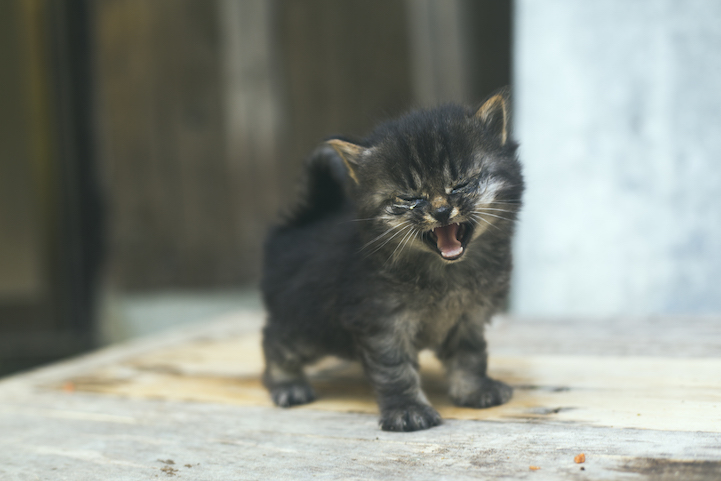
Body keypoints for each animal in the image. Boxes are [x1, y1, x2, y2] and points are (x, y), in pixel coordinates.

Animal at [262, 90, 520, 432]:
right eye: (411, 198)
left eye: (461, 184)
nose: (441, 211)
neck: (445, 273)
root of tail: (301, 223)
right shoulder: (381, 321)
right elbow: (395, 369)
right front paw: (407, 409)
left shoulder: (468, 318)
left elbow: (470, 356)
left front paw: (474, 389)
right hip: (307, 323)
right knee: (274, 341)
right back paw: (287, 384)